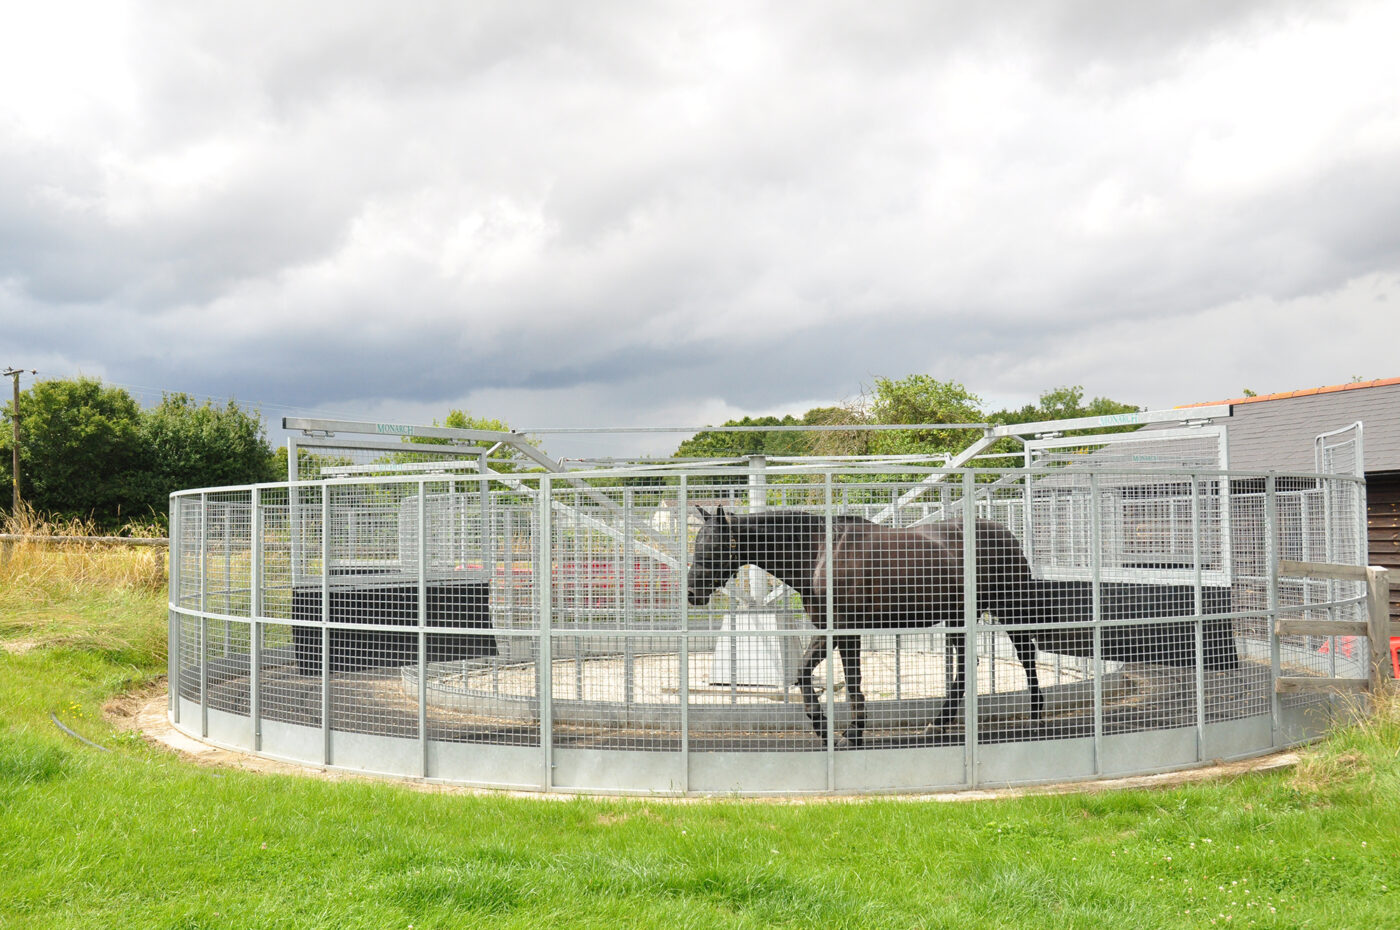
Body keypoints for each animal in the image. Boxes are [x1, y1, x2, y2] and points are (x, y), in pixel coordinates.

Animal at [685, 506, 1044, 747]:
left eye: (714, 546)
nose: (691, 592)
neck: (819, 553)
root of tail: (1008, 536)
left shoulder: (847, 629)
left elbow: (853, 681)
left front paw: (852, 733)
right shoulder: (827, 631)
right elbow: (802, 673)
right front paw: (823, 727)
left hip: (1009, 609)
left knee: (1027, 657)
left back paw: (1037, 717)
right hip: (958, 617)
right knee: (968, 665)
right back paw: (938, 724)